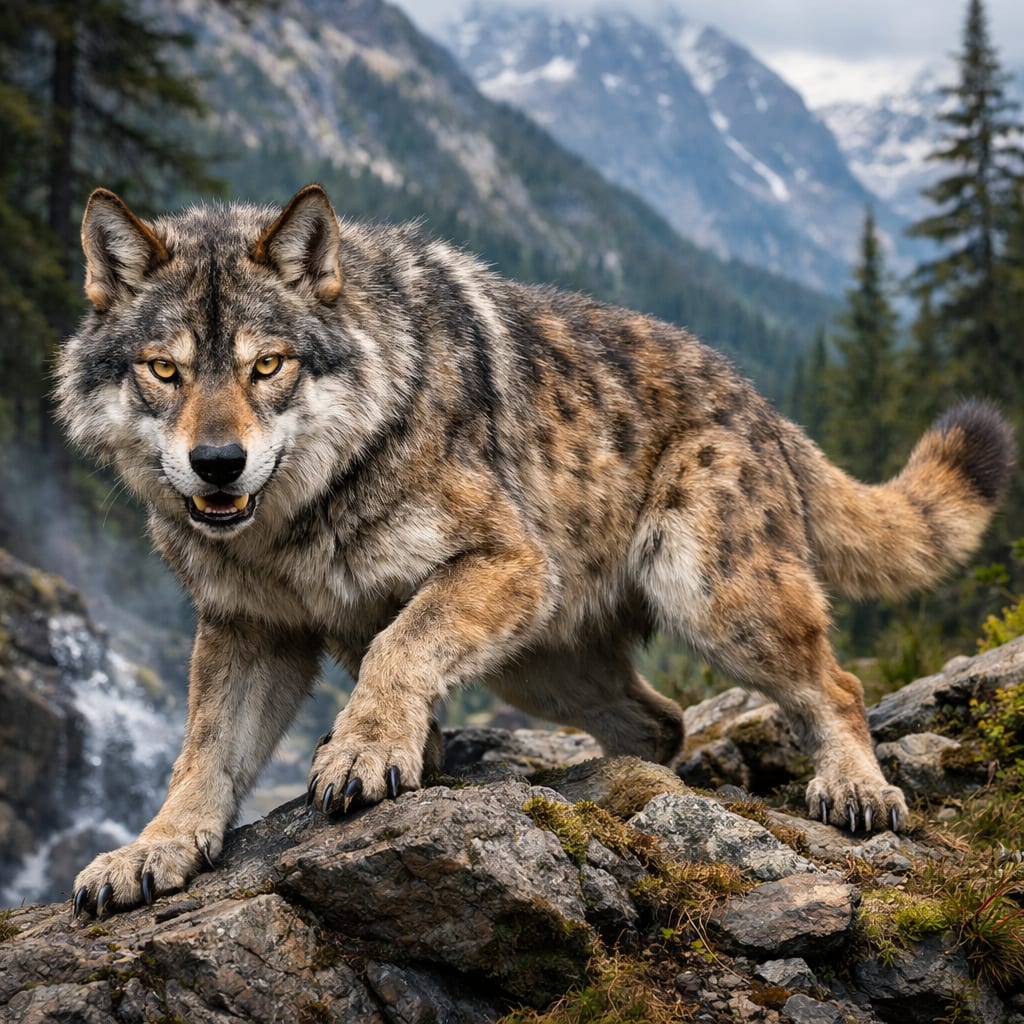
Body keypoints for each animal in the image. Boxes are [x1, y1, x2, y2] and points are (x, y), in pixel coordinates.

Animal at [58, 184, 1013, 916]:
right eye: (166, 370)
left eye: (268, 366)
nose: (217, 463)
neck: (299, 518)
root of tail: (764, 403)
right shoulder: (251, 632)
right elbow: (201, 757)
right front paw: (151, 851)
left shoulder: (506, 563)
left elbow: (395, 649)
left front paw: (364, 751)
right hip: (540, 669)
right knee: (660, 721)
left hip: (712, 605)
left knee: (837, 688)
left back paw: (855, 789)